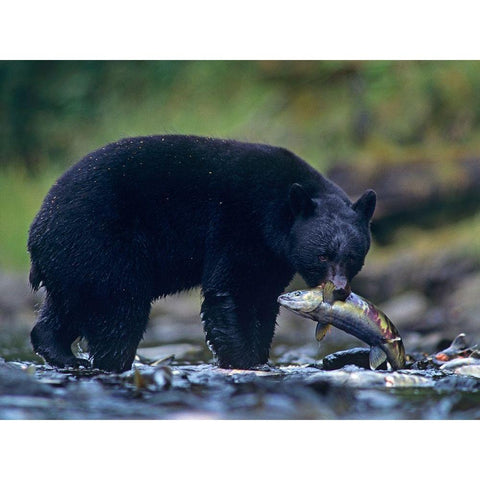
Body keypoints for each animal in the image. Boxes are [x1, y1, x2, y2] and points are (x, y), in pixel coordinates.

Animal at [28, 135, 376, 372]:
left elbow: (263, 299)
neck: (277, 215)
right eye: (323, 255)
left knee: (68, 306)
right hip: (100, 242)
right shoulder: (238, 224)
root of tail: (38, 228)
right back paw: (112, 361)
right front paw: (244, 360)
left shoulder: (272, 257)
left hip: (73, 261)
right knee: (119, 307)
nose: (340, 290)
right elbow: (232, 290)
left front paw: (260, 359)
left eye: (353, 257)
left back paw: (61, 353)